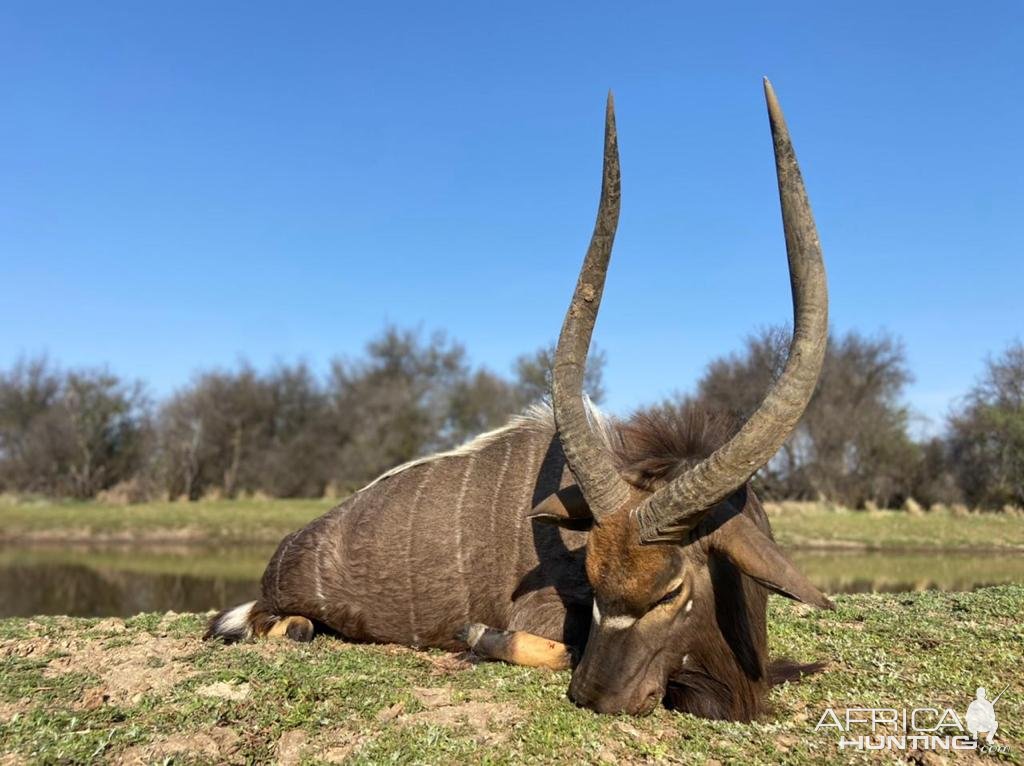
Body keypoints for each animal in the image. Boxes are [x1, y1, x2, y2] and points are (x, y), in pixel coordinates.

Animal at [205, 80, 831, 720]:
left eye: (671, 590)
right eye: (594, 579)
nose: (597, 695)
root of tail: (291, 549)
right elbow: (547, 644)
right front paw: (477, 637)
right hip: (280, 611)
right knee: (277, 625)